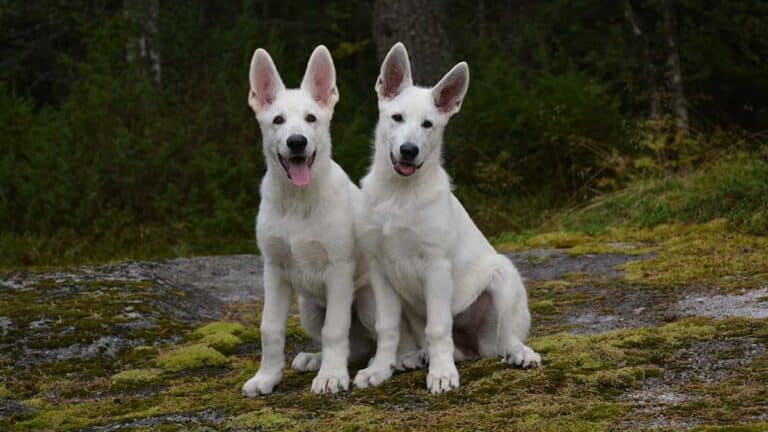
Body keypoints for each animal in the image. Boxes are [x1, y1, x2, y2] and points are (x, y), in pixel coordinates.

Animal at [238, 46, 374, 394]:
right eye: (278, 120)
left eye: (311, 118)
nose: (297, 142)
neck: (298, 203)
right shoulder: (274, 269)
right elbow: (270, 328)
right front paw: (266, 377)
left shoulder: (339, 269)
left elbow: (335, 329)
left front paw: (331, 376)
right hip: (309, 308)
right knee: (358, 344)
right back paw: (316, 358)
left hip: (369, 300)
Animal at [354, 43, 540, 394]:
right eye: (396, 118)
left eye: (428, 124)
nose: (409, 150)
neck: (400, 194)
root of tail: (472, 348)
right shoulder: (380, 270)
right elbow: (387, 327)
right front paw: (380, 369)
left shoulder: (437, 268)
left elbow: (439, 327)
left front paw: (441, 374)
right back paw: (415, 356)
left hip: (502, 276)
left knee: (504, 338)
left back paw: (517, 353)